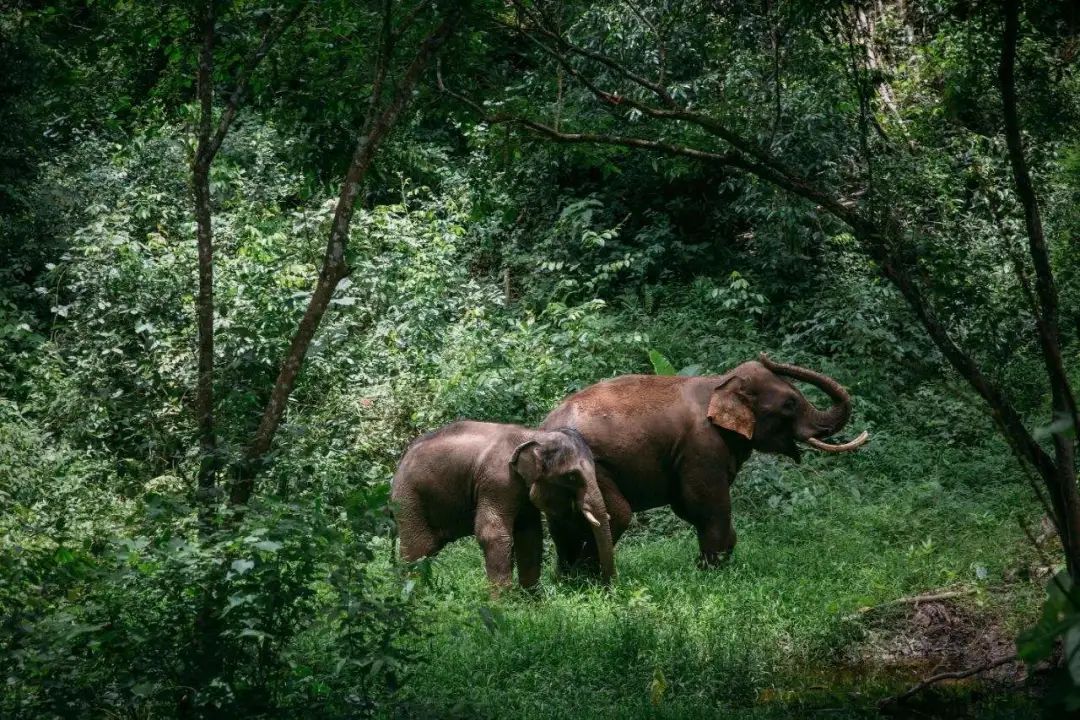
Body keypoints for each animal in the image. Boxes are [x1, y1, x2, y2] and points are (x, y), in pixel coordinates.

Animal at [390, 418, 617, 587]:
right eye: (571, 476)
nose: (606, 587)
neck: (534, 436)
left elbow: (530, 535)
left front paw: (532, 603)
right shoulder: (498, 481)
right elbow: (493, 534)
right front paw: (503, 605)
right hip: (408, 499)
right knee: (418, 550)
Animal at [540, 356, 868, 574]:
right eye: (789, 404)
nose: (765, 355)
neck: (720, 383)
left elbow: (687, 507)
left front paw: (715, 560)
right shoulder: (701, 447)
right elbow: (706, 504)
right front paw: (714, 570)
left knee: (562, 522)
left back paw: (569, 580)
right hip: (594, 468)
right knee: (616, 515)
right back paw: (590, 576)